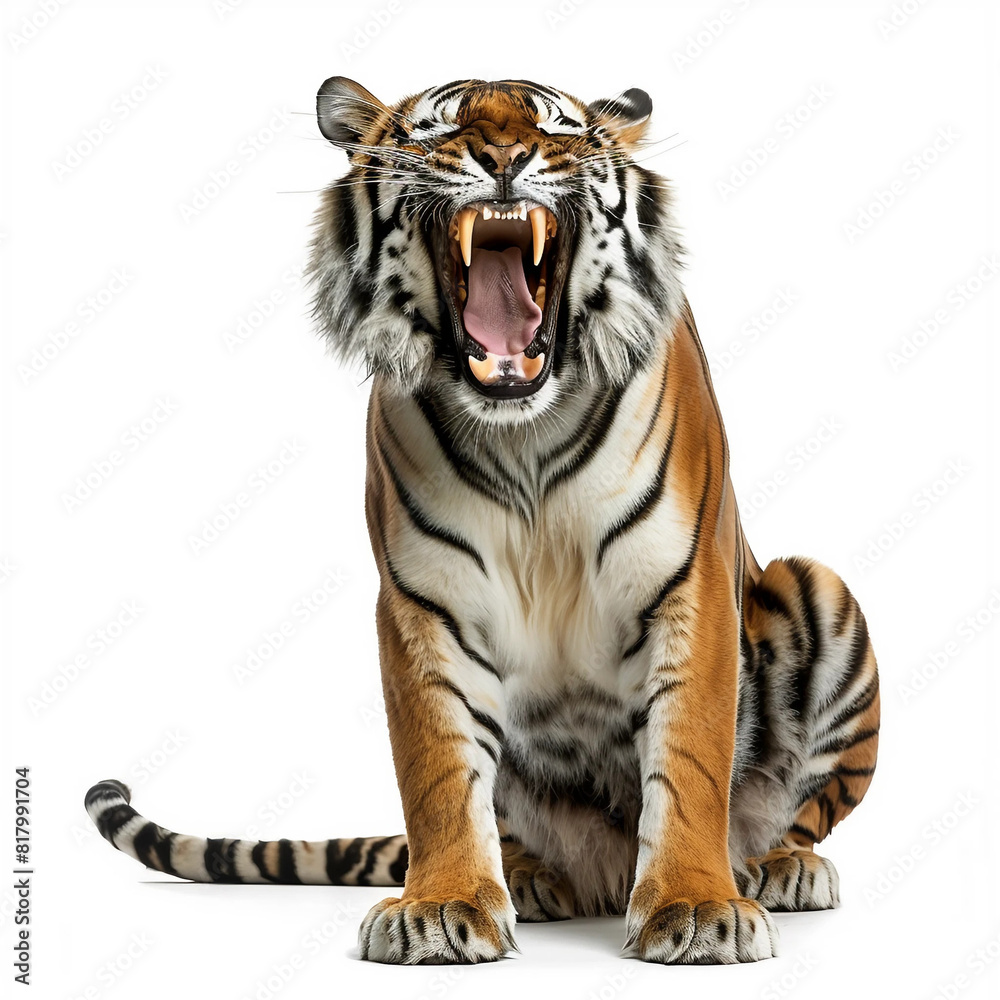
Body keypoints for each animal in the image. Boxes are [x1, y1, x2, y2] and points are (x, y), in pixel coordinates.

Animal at [86, 76, 880, 966]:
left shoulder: (690, 584)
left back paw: (779, 868)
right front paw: (443, 906)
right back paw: (530, 877)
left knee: (798, 813)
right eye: (440, 127)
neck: (523, 431)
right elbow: (437, 769)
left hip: (817, 587)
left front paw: (697, 907)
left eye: (556, 125)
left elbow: (690, 759)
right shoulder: (425, 602)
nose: (504, 157)